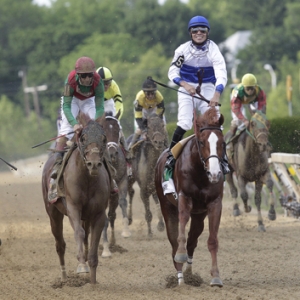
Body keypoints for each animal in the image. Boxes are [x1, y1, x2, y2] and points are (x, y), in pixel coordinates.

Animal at [41, 113, 109, 284]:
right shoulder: (73, 208)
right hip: (53, 213)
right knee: (60, 244)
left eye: (104, 138)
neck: (87, 179)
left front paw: (93, 281)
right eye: (83, 137)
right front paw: (81, 266)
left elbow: (93, 242)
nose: (94, 164)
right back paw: (64, 277)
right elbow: (78, 233)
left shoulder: (98, 213)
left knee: (85, 238)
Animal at [156, 108, 224, 286]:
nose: (215, 173)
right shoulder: (184, 197)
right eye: (202, 142)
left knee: (193, 240)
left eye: (222, 143)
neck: (200, 171)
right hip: (166, 206)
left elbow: (212, 240)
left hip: (199, 215)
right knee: (174, 241)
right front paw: (181, 255)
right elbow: (181, 229)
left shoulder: (214, 203)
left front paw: (216, 276)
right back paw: (180, 279)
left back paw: (188, 274)